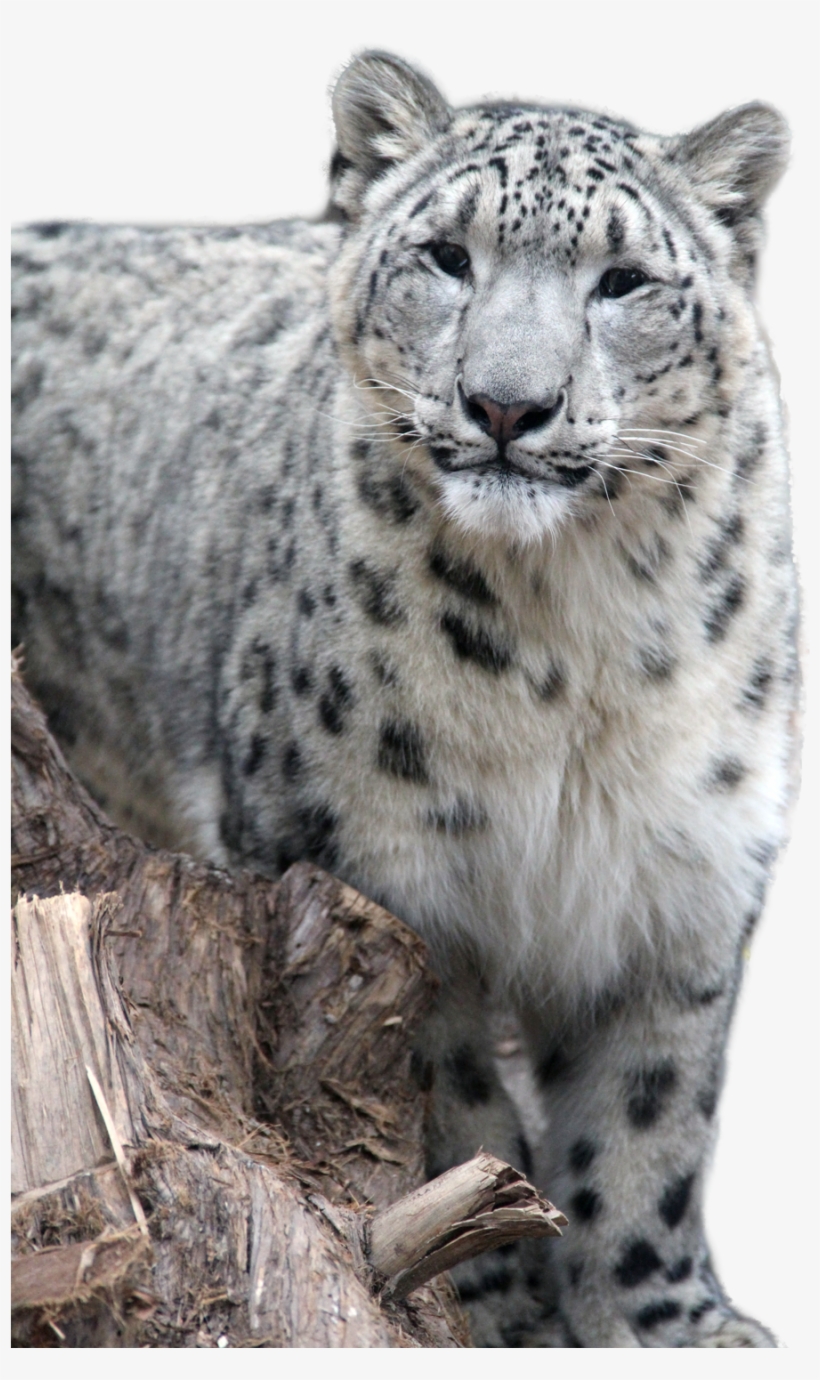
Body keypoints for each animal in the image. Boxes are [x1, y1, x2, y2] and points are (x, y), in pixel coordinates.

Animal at [11, 51, 799, 1347]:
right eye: (446, 254)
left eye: (623, 280)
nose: (506, 405)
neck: (571, 641)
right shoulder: (379, 869)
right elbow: (437, 1096)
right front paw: (495, 1307)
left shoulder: (685, 875)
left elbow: (650, 1116)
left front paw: (667, 1322)